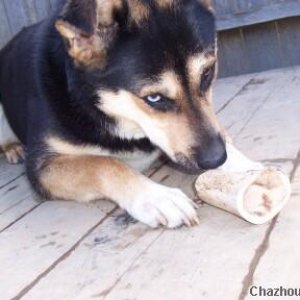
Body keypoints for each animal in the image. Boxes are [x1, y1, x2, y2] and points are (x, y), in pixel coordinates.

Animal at [0, 0, 227, 229]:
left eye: (207, 73)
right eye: (154, 98)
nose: (217, 159)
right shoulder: (41, 168)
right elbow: (103, 164)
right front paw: (157, 197)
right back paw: (14, 148)